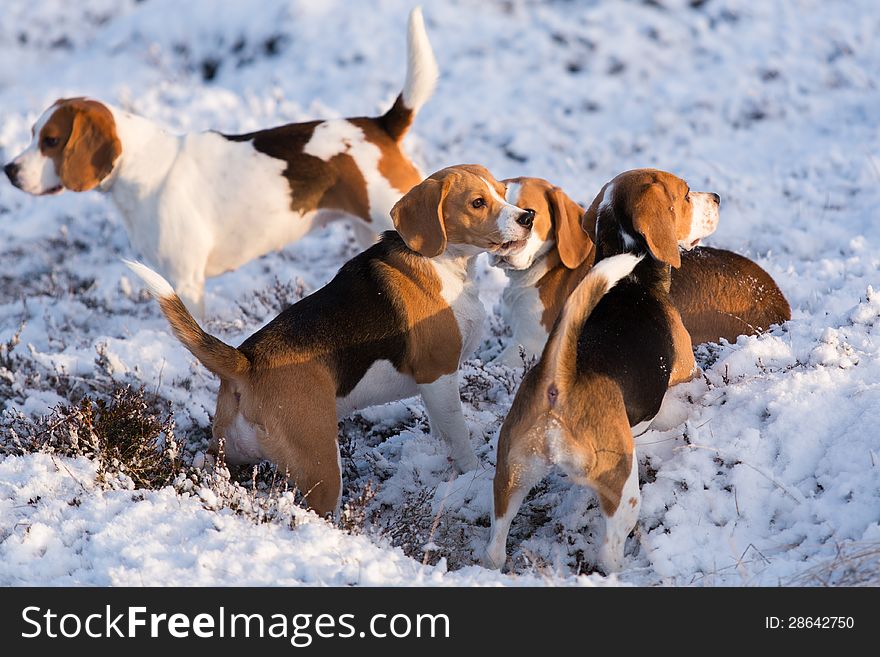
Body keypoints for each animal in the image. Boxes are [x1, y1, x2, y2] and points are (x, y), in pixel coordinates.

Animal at [3, 7, 436, 320]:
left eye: (51, 141)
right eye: (31, 133)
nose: (9, 170)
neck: (142, 169)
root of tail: (380, 124)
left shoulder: (186, 280)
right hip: (368, 232)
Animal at [126, 163, 532, 512]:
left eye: (502, 193)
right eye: (477, 203)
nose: (527, 217)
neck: (443, 262)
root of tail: (248, 361)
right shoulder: (439, 375)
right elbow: (458, 434)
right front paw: (473, 473)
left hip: (227, 450)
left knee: (207, 463)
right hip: (322, 467)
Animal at [484, 170, 720, 576]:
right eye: (687, 194)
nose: (718, 197)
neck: (633, 279)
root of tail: (559, 382)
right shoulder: (687, 374)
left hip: (511, 473)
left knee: (495, 545)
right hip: (622, 485)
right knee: (609, 551)